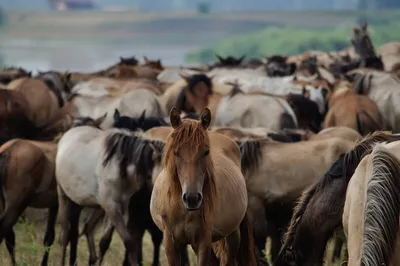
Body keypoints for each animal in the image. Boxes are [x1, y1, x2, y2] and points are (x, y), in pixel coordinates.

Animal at [150, 108, 256, 266]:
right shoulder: (171, 243)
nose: (192, 198)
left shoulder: (203, 243)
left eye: (206, 152)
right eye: (176, 152)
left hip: (232, 236)